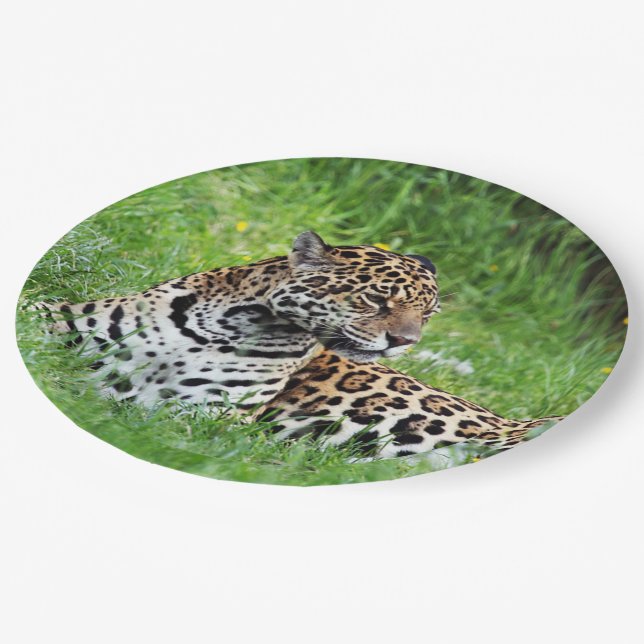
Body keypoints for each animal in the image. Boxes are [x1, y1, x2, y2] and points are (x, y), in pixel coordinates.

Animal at [38, 230, 562, 459]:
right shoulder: (68, 319)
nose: (403, 342)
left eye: (427, 316)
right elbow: (36, 313)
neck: (232, 324)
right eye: (376, 298)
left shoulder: (208, 413)